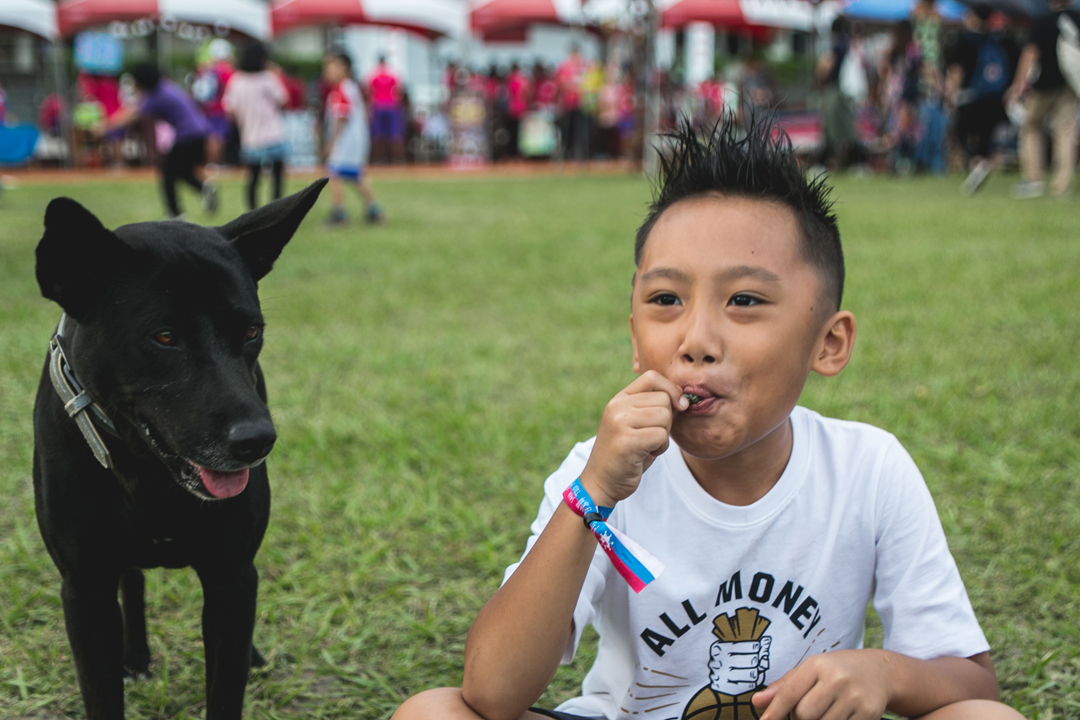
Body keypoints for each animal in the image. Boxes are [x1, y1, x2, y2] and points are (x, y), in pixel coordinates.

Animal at [33, 177, 326, 716]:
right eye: (165, 336)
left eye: (252, 331)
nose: (257, 441)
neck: (148, 468)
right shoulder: (84, 588)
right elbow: (102, 692)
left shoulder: (232, 575)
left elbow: (226, 690)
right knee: (133, 581)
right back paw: (135, 655)